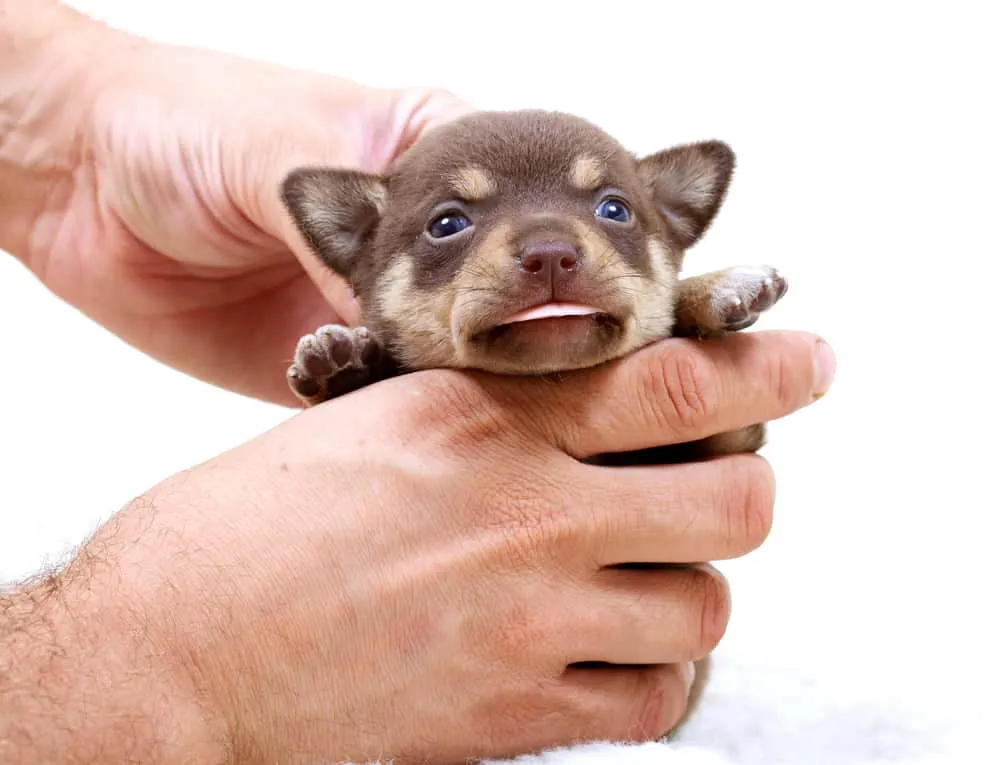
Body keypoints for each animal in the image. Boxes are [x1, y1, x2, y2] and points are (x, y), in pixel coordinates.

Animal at [278, 107, 784, 736]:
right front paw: (345, 363)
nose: (549, 250)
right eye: (448, 224)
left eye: (614, 210)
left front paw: (713, 288)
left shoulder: (711, 461)